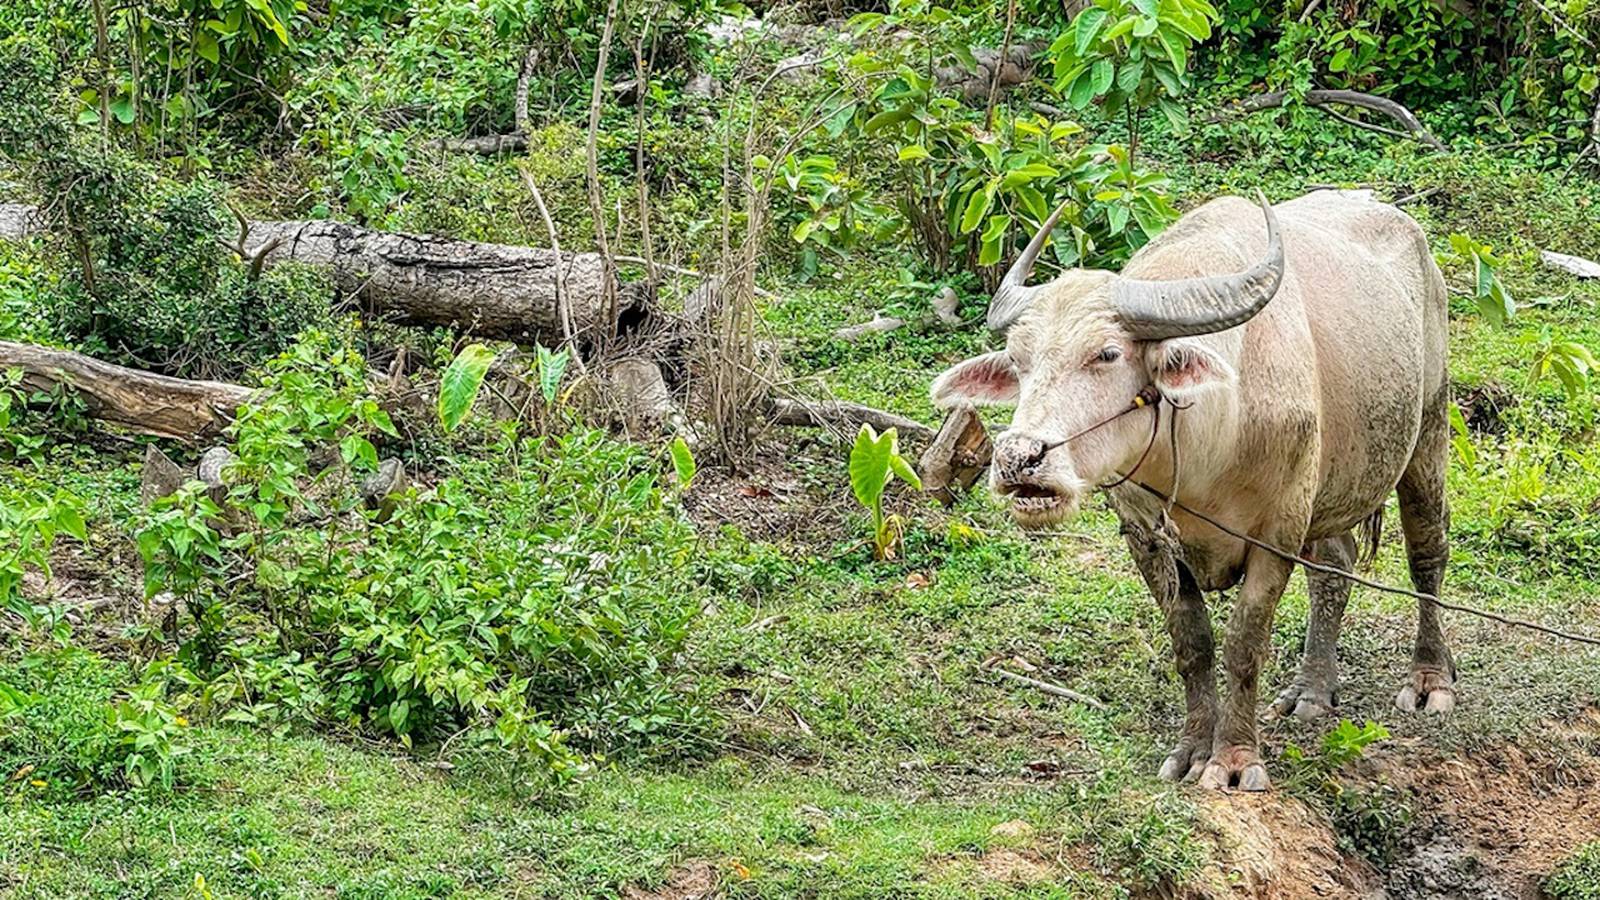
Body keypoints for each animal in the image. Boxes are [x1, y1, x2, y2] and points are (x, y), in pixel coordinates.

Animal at [934, 190, 1459, 784]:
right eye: (1019, 360)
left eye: (1107, 354)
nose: (1019, 459)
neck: (1211, 440)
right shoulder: (1147, 535)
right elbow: (1193, 643)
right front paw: (1191, 750)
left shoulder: (1276, 533)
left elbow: (1243, 644)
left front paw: (1233, 760)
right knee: (1335, 564)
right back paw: (1311, 690)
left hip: (1429, 427)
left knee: (1426, 553)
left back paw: (1429, 679)